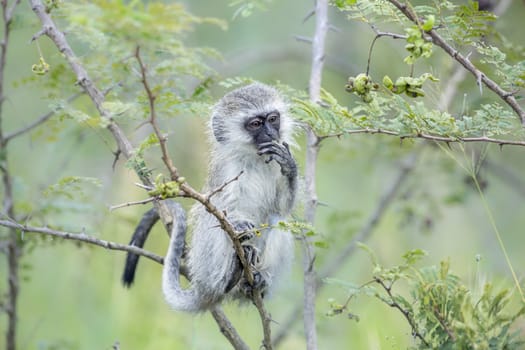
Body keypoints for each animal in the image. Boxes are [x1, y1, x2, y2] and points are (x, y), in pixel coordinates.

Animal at [121, 82, 296, 312]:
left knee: (279, 220)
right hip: (205, 267)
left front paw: (289, 166)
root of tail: (203, 288)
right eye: (256, 124)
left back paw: (257, 280)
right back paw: (230, 276)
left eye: (273, 119)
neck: (254, 159)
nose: (270, 133)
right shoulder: (226, 171)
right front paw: (239, 225)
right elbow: (219, 209)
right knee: (215, 224)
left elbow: (283, 207)